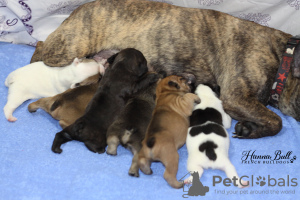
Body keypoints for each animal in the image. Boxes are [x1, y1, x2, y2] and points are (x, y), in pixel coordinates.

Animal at [29, 0, 300, 139]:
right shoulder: (237, 96)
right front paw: (251, 128)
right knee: (39, 47)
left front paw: (251, 127)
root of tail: (78, 10)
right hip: (67, 48)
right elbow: (277, 121)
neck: (285, 57)